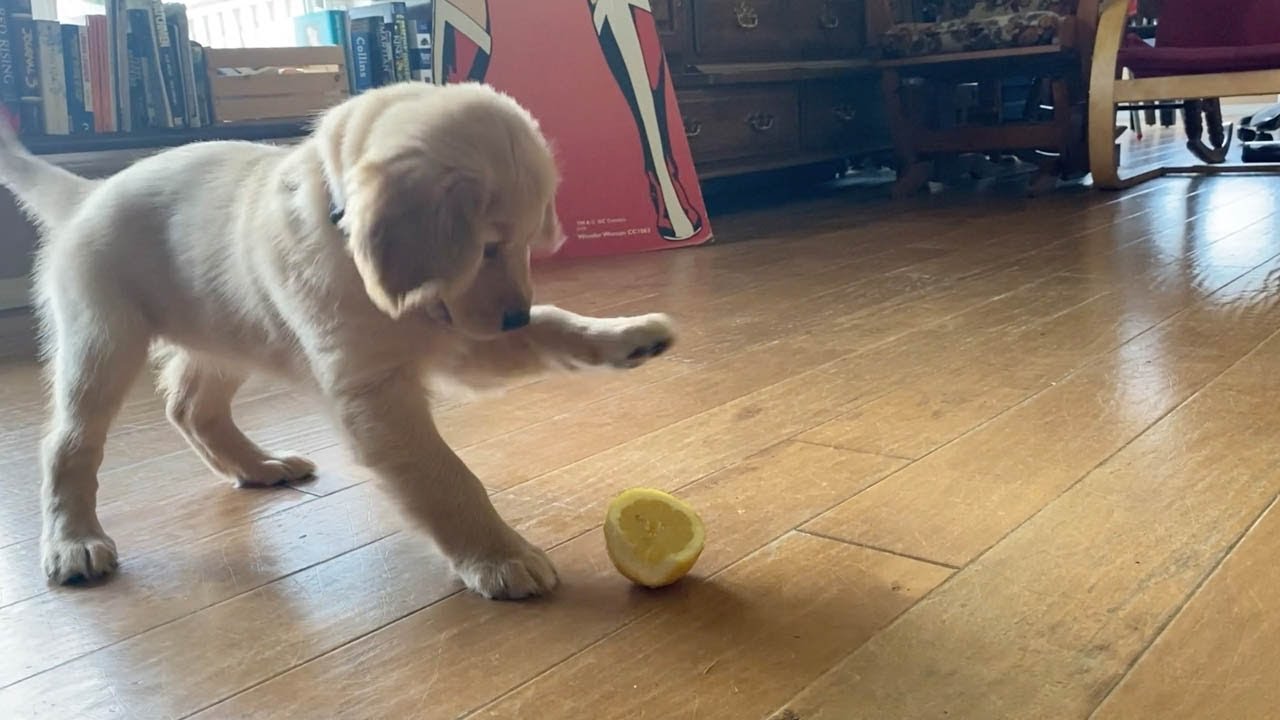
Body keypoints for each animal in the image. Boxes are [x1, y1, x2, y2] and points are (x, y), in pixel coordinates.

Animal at [0, 82, 680, 599]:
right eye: (487, 247)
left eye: (524, 245)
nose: (512, 316)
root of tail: (88, 192)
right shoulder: (372, 388)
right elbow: (444, 475)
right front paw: (500, 556)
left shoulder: (463, 340)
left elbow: (554, 323)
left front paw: (629, 335)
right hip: (102, 337)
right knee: (70, 442)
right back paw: (74, 542)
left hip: (226, 333)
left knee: (191, 408)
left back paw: (260, 466)